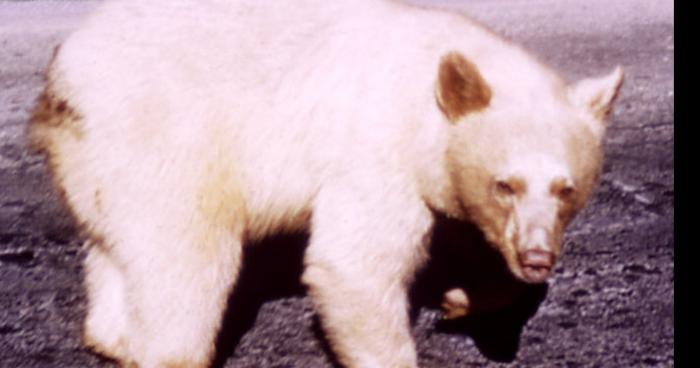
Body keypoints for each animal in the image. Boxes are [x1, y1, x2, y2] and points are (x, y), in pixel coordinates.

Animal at [30, 0, 624, 368]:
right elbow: (353, 265)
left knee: (115, 250)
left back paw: (113, 338)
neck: (429, 83)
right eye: (506, 184)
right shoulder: (377, 150)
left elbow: (465, 237)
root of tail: (62, 81)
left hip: (97, 164)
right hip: (167, 141)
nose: (538, 256)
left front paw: (460, 298)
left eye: (566, 189)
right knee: (191, 259)